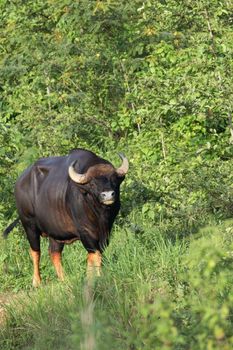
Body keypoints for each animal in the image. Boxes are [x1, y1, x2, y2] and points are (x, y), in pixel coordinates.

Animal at [2, 149, 128, 286]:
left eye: (113, 179)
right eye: (92, 183)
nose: (108, 195)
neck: (100, 214)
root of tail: (19, 183)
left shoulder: (106, 231)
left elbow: (94, 256)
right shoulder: (85, 231)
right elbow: (96, 255)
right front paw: (98, 278)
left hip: (55, 232)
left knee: (54, 253)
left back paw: (64, 280)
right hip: (29, 225)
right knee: (35, 252)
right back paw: (37, 282)